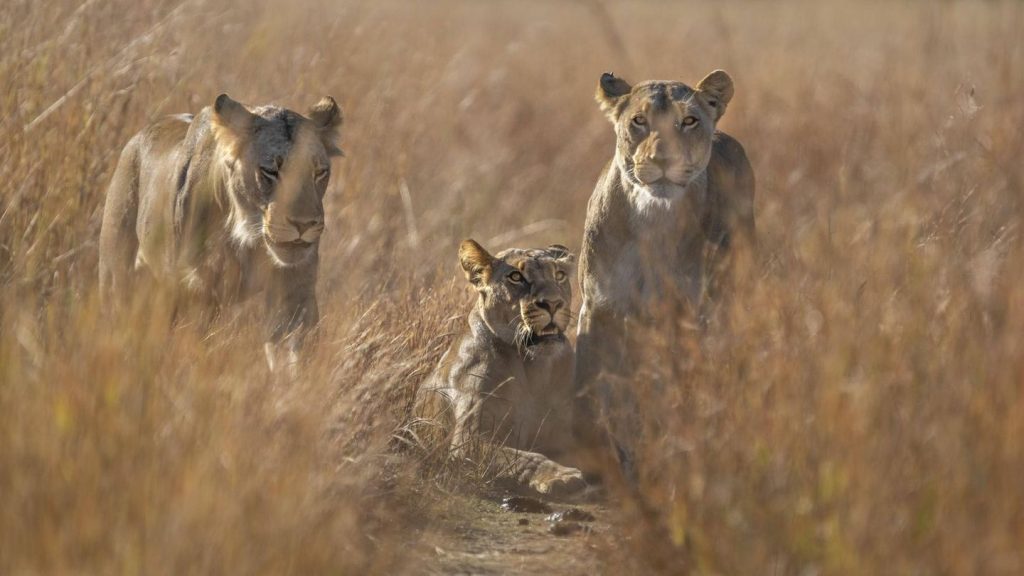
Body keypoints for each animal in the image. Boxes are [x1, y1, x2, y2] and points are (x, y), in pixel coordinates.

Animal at [98, 91, 344, 364]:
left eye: (320, 172)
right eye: (270, 171)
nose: (304, 224)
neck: (248, 237)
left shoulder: (294, 291)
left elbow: (292, 352)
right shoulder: (196, 292)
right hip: (118, 283)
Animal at [409, 237, 585, 494]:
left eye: (560, 275)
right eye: (516, 277)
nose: (553, 303)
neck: (532, 368)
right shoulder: (467, 441)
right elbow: (523, 457)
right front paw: (561, 476)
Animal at [577, 70, 753, 475]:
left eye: (688, 121)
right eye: (638, 121)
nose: (662, 158)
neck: (652, 218)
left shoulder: (690, 315)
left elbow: (679, 392)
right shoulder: (598, 309)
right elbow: (593, 387)